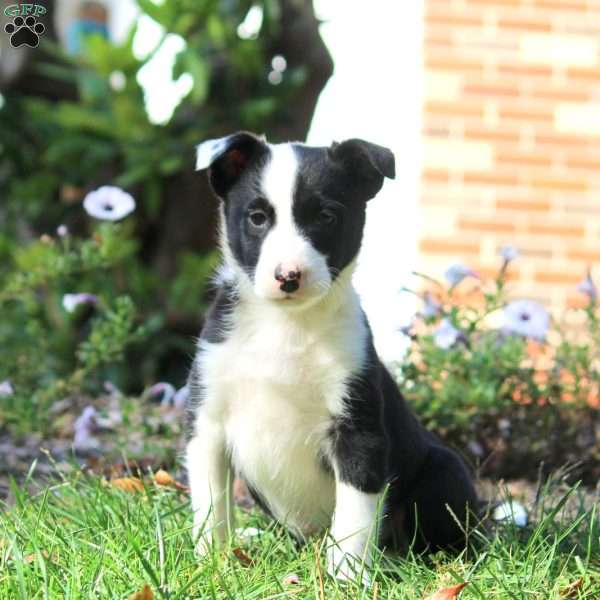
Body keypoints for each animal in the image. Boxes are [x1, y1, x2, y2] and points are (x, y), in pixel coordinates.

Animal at [185, 130, 476, 580]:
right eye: (257, 218)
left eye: (325, 216)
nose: (289, 276)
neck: (287, 325)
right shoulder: (208, 423)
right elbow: (212, 506)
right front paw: (213, 566)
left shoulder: (358, 430)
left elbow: (354, 516)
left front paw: (347, 577)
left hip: (445, 472)